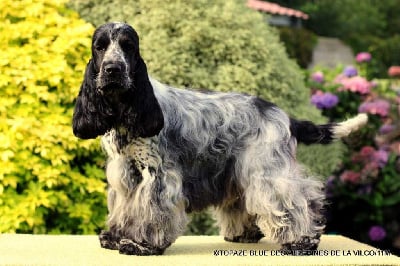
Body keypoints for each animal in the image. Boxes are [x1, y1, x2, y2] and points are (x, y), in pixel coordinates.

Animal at [72, 21, 368, 255]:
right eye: (99, 47)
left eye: (128, 46)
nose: (113, 69)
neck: (124, 113)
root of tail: (283, 115)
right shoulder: (124, 172)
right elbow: (123, 208)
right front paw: (115, 236)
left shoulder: (158, 174)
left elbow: (152, 211)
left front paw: (141, 244)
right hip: (239, 172)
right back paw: (244, 235)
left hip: (266, 169)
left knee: (300, 199)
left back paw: (302, 241)